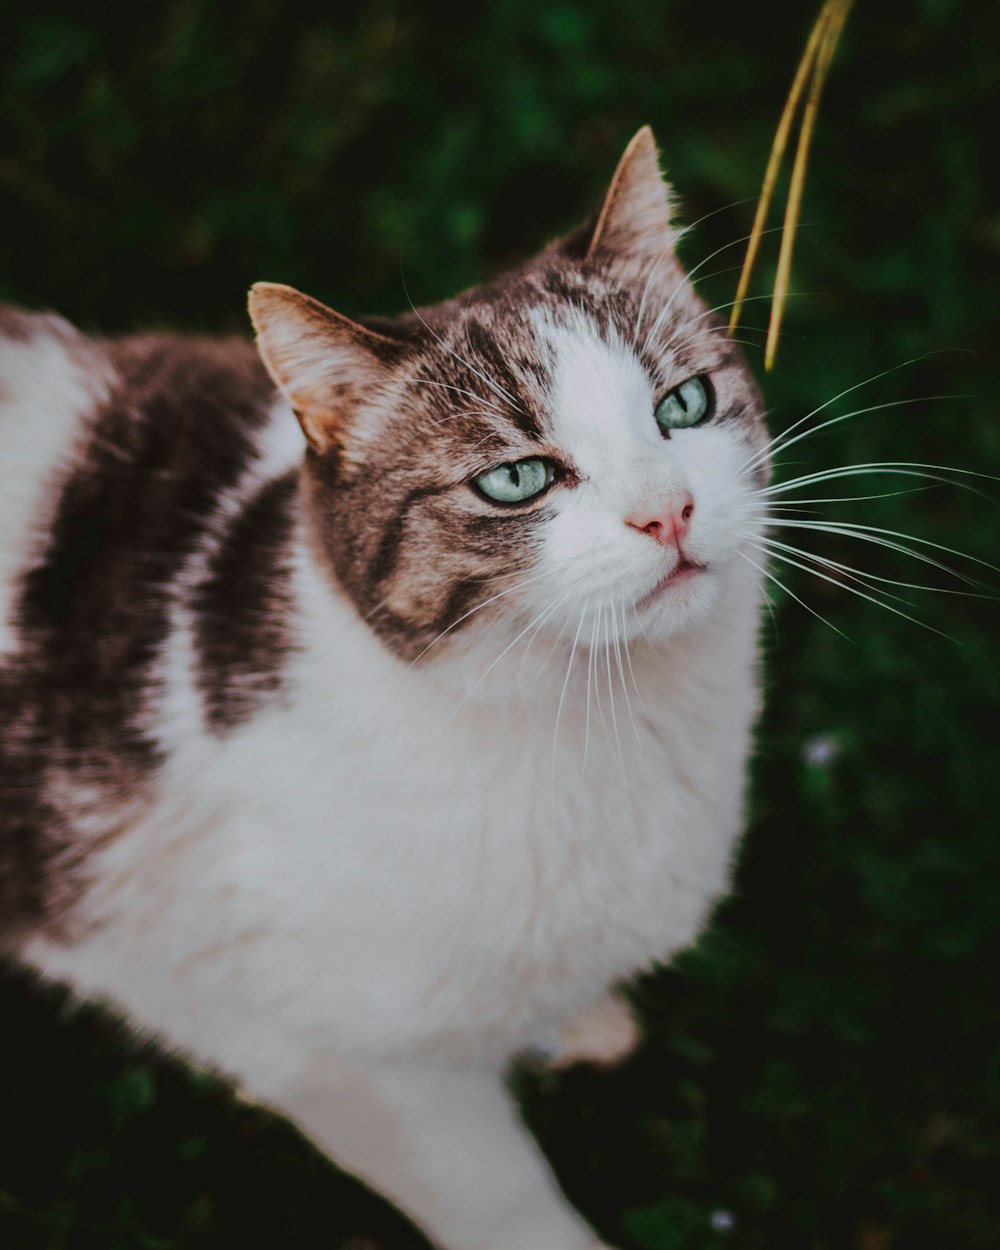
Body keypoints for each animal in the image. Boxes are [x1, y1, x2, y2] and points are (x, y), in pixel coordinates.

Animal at [0, 129, 770, 1250]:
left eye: (685, 406)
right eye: (514, 480)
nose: (668, 510)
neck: (608, 719)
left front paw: (562, 1017)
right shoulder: (344, 1059)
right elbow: (500, 1198)